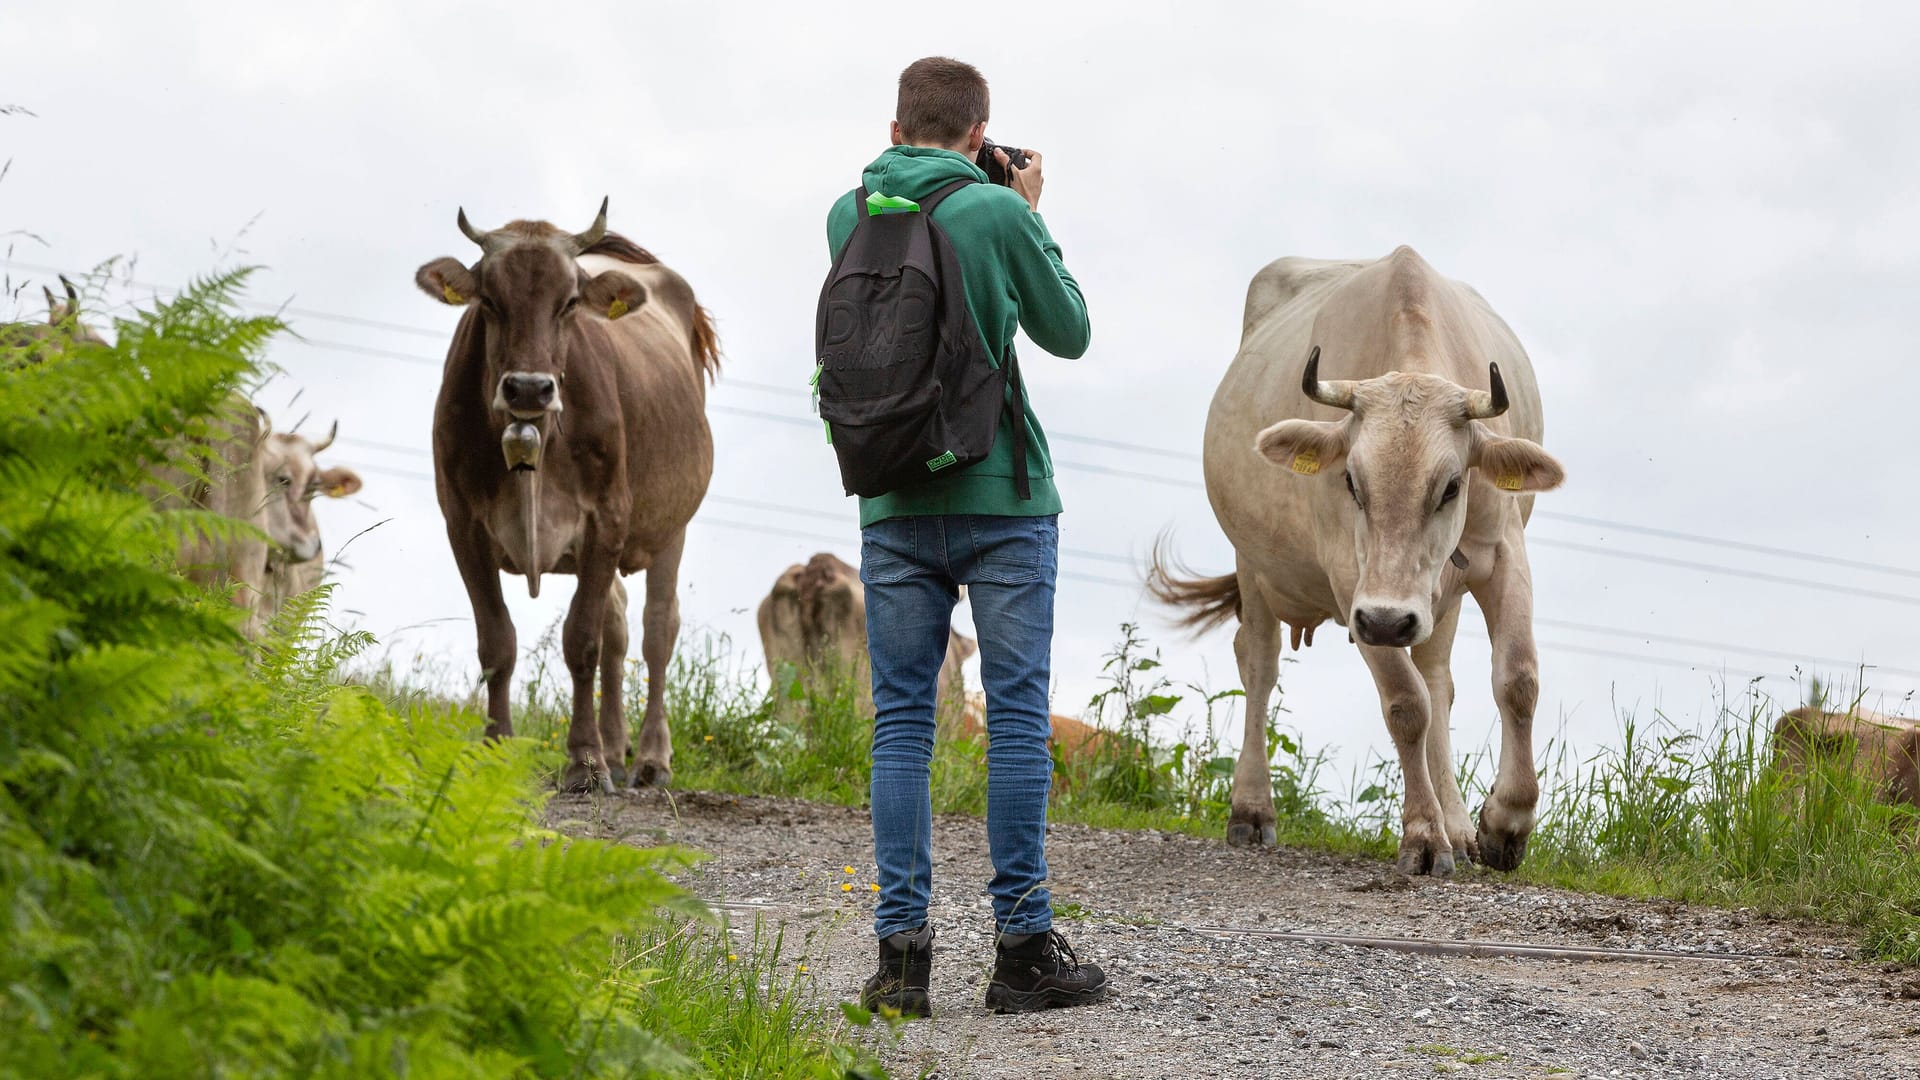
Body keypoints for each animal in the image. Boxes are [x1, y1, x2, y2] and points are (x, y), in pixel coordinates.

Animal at [416, 199, 718, 791]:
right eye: (489, 300)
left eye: (570, 303)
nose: (530, 388)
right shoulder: (462, 526)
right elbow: (497, 643)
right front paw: (496, 748)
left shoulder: (607, 520)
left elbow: (581, 641)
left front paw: (585, 763)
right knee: (618, 627)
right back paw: (617, 747)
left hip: (671, 524)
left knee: (656, 631)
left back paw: (650, 758)